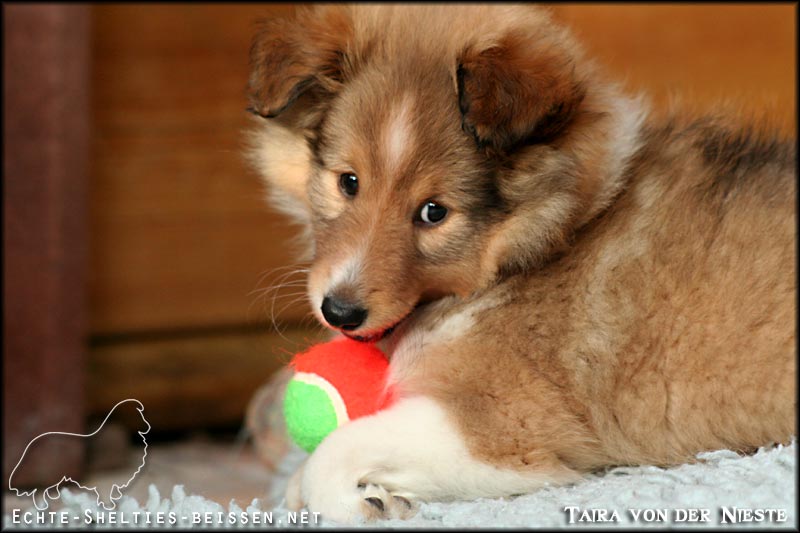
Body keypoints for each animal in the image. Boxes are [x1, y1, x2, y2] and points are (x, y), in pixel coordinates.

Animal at [245, 5, 796, 523]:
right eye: (349, 181)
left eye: (434, 212)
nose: (339, 312)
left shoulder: (504, 428)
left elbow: (338, 445)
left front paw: (356, 501)